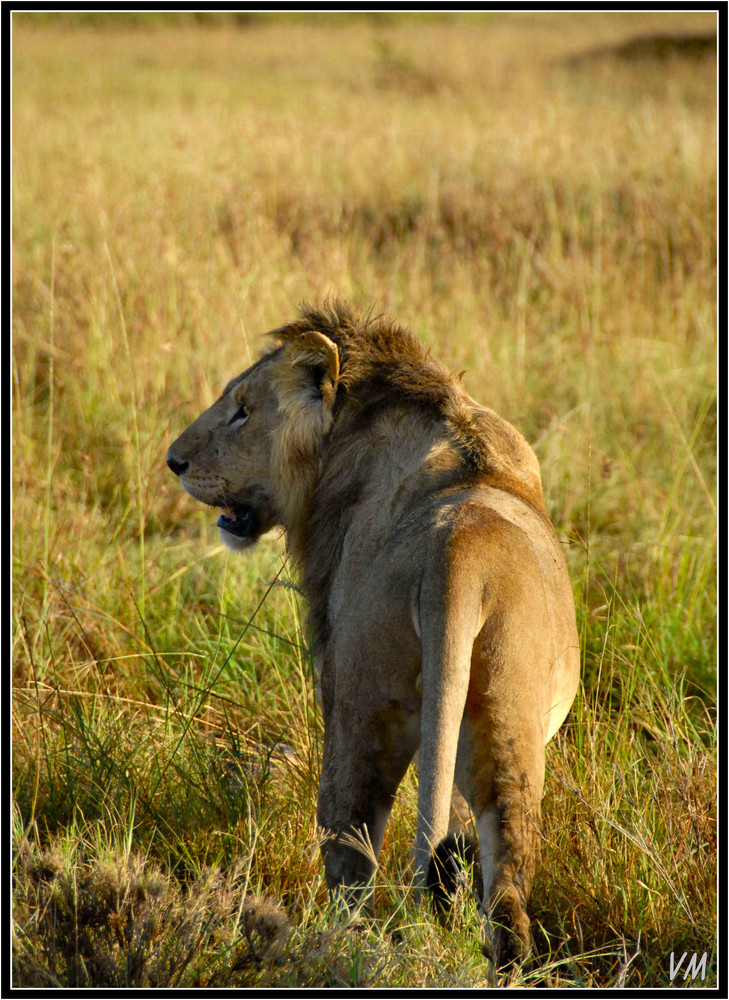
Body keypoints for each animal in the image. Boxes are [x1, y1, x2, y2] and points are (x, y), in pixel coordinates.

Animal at [166, 300, 580, 964]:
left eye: (242, 410)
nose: (174, 461)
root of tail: (456, 558)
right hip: (508, 714)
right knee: (504, 884)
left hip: (361, 707)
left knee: (350, 850)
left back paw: (337, 946)